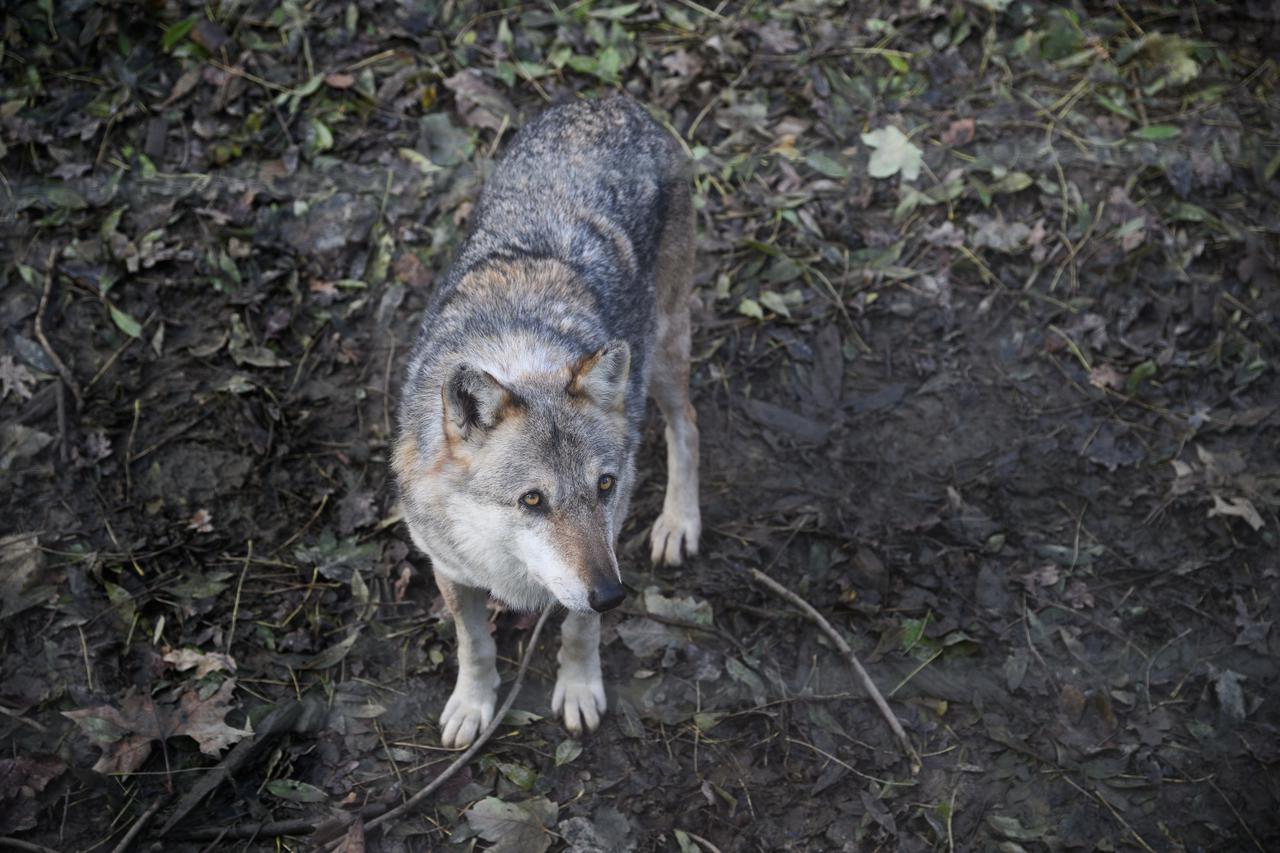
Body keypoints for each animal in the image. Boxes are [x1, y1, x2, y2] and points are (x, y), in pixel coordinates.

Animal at [396, 94, 706, 742]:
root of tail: (613, 101)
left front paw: (581, 689)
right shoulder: (449, 569)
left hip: (661, 355)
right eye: (532, 500)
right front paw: (472, 705)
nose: (613, 594)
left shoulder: (600, 559)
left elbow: (580, 627)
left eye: (605, 486)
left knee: (686, 422)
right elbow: (474, 645)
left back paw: (677, 524)